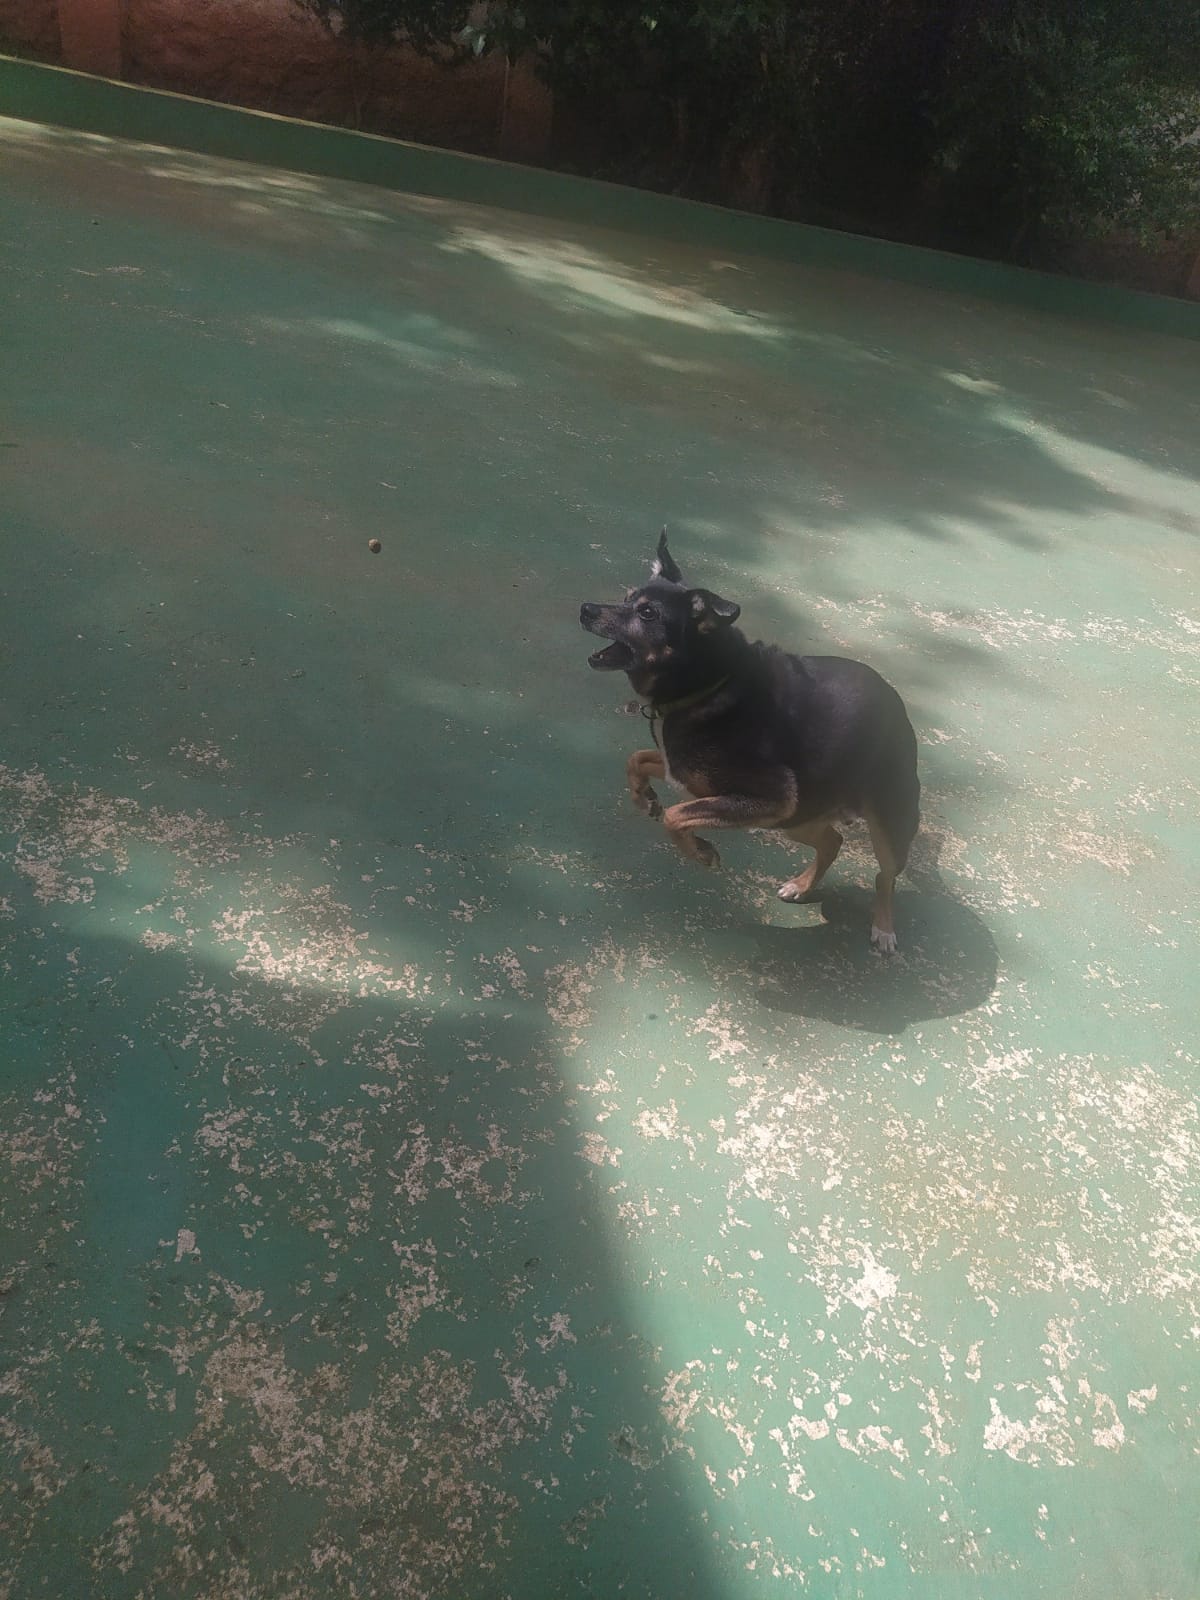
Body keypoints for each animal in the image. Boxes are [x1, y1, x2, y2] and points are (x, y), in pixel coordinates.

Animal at [580, 531, 920, 951]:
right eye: (627, 597)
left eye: (646, 614)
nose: (585, 609)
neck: (711, 683)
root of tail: (896, 702)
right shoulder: (689, 774)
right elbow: (637, 759)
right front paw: (643, 797)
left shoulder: (770, 796)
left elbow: (675, 816)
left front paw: (701, 852)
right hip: (797, 818)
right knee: (833, 841)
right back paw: (803, 886)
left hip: (885, 828)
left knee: (885, 876)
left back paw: (884, 928)